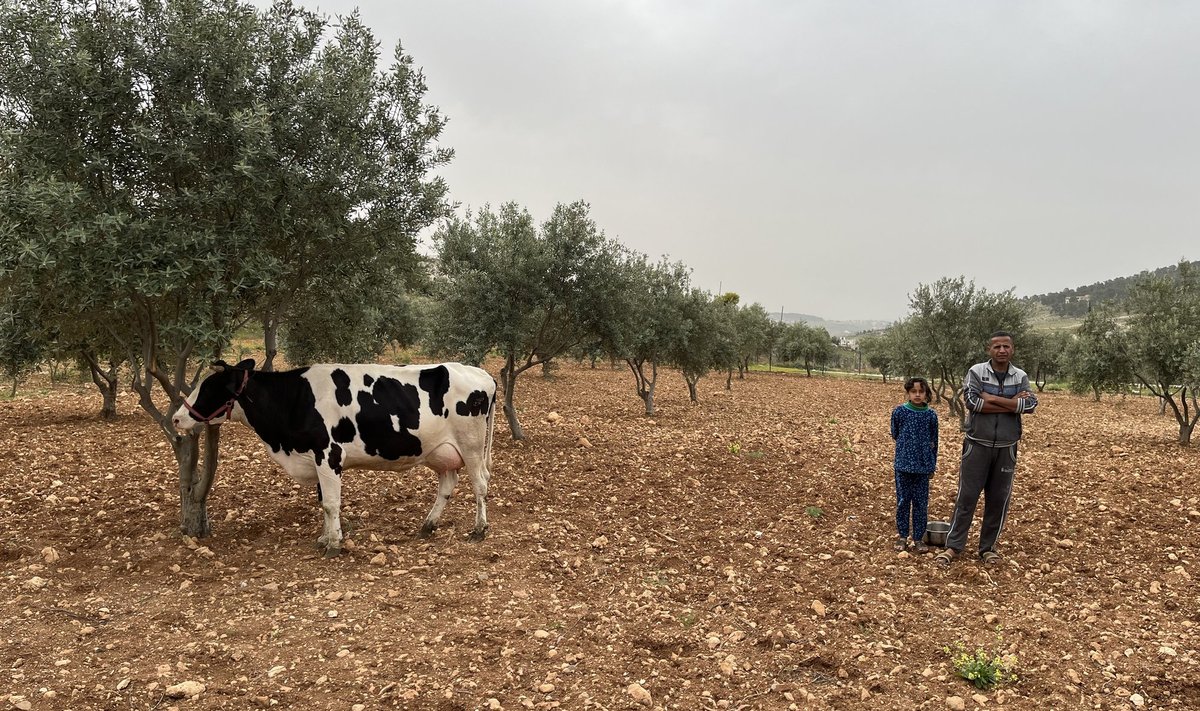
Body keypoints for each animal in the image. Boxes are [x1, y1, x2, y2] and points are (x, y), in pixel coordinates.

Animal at [171, 357, 494, 552]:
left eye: (209, 388)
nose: (175, 418)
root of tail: (482, 374)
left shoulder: (328, 455)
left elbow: (330, 504)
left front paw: (334, 544)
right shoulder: (316, 459)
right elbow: (323, 502)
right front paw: (325, 537)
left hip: (472, 445)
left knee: (480, 484)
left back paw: (479, 529)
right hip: (442, 453)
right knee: (447, 486)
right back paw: (428, 525)